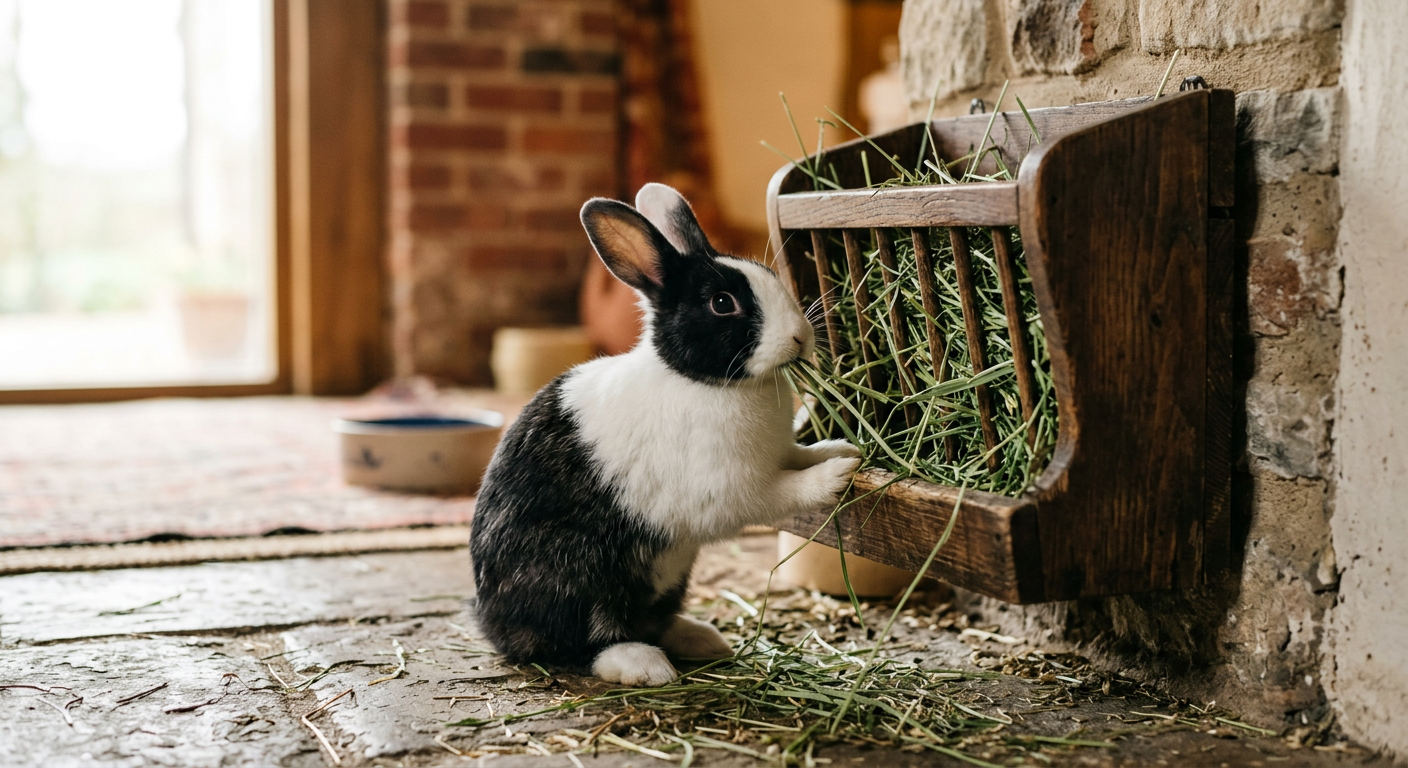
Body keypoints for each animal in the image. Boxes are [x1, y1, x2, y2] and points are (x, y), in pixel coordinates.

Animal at [469, 183, 861, 687]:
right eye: (722, 303)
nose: (799, 338)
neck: (702, 381)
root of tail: (492, 623)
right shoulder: (731, 488)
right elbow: (782, 492)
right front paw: (837, 474)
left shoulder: (779, 452)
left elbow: (799, 454)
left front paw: (843, 449)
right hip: (580, 573)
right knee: (584, 643)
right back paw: (645, 666)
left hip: (670, 578)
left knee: (654, 621)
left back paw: (703, 639)